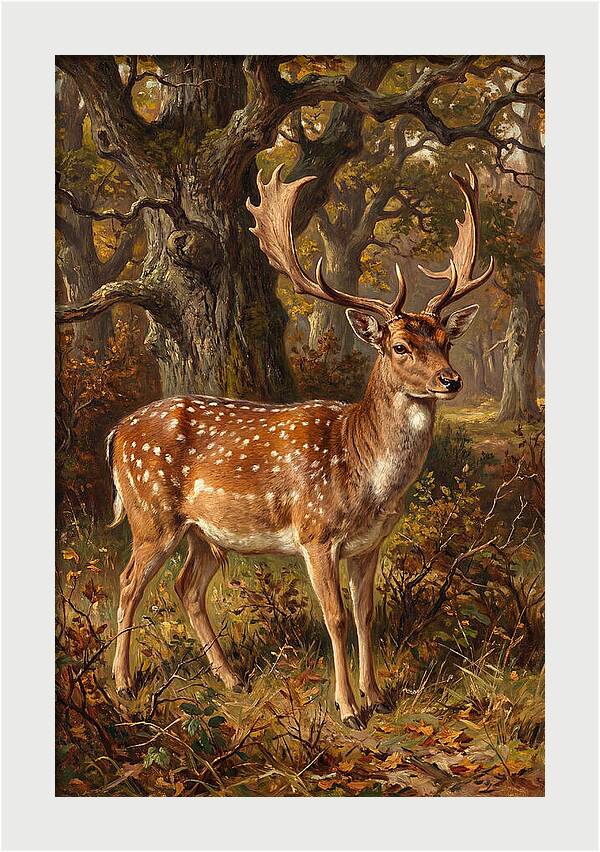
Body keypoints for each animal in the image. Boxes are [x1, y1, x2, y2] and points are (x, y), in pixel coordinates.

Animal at [106, 163, 494, 729]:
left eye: (446, 341)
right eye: (400, 346)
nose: (451, 380)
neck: (364, 472)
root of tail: (117, 432)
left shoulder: (369, 543)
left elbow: (366, 613)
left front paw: (378, 696)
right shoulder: (316, 534)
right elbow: (335, 617)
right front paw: (348, 708)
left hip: (205, 533)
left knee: (187, 589)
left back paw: (232, 677)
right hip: (150, 514)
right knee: (129, 582)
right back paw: (122, 682)